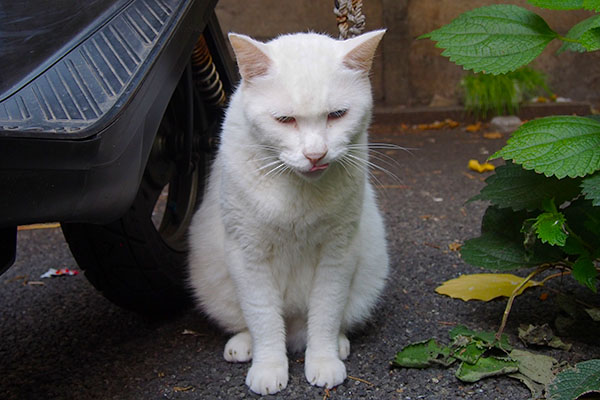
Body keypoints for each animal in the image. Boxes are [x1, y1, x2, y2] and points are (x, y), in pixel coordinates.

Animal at [190, 29, 392, 396]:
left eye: (337, 114)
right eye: (285, 120)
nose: (315, 154)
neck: (297, 192)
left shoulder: (337, 253)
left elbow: (325, 314)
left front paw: (324, 361)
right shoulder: (249, 256)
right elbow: (264, 320)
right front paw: (268, 368)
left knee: (330, 322)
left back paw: (336, 344)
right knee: (248, 323)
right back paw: (244, 345)